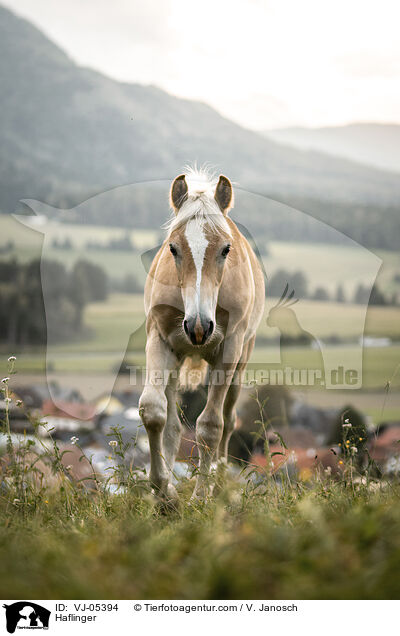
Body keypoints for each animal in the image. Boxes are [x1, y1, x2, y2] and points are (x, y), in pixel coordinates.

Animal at [138, 170, 266, 502]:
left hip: (241, 360)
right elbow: (154, 411)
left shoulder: (229, 351)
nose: (199, 327)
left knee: (229, 419)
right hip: (176, 360)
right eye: (173, 248)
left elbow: (211, 425)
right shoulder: (158, 339)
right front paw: (163, 491)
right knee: (171, 423)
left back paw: (218, 484)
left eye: (225, 249)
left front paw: (200, 497)